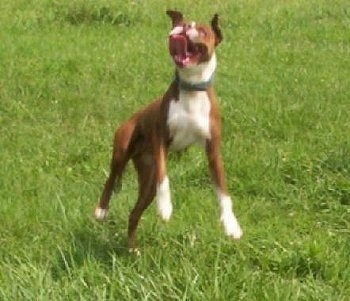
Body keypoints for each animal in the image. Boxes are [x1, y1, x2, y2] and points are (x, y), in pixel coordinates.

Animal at [95, 9, 243, 248]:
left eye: (203, 30)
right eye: (181, 24)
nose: (185, 28)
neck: (191, 88)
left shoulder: (213, 152)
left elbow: (223, 193)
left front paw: (232, 226)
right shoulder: (160, 140)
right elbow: (164, 176)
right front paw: (165, 207)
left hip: (147, 181)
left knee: (134, 213)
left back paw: (133, 249)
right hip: (123, 147)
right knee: (112, 177)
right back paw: (101, 210)